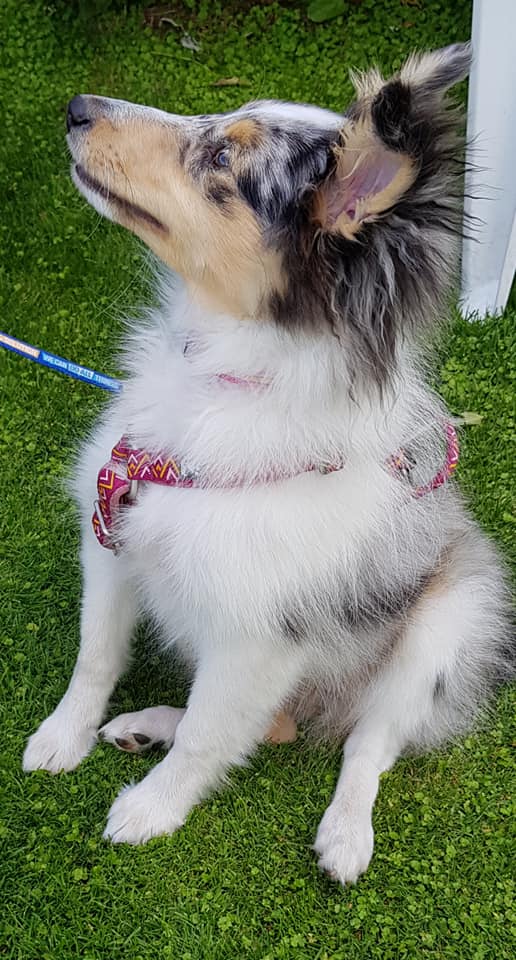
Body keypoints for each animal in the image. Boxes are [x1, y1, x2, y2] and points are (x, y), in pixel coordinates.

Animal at [23, 43, 513, 885]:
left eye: (223, 159)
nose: (77, 108)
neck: (222, 376)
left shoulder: (257, 636)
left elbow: (210, 736)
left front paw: (152, 810)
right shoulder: (112, 537)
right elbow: (96, 656)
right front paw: (64, 736)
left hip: (447, 626)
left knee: (368, 743)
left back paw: (346, 836)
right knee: (272, 728)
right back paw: (144, 725)